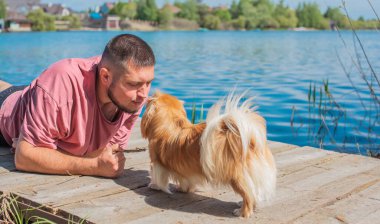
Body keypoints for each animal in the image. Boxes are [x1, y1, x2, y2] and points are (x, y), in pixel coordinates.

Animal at [141, 90, 278, 217]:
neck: (172, 124)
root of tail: (250, 141)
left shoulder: (156, 162)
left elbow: (156, 176)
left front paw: (154, 186)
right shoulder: (186, 171)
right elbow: (186, 181)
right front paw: (182, 189)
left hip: (236, 177)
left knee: (248, 195)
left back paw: (242, 212)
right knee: (254, 192)